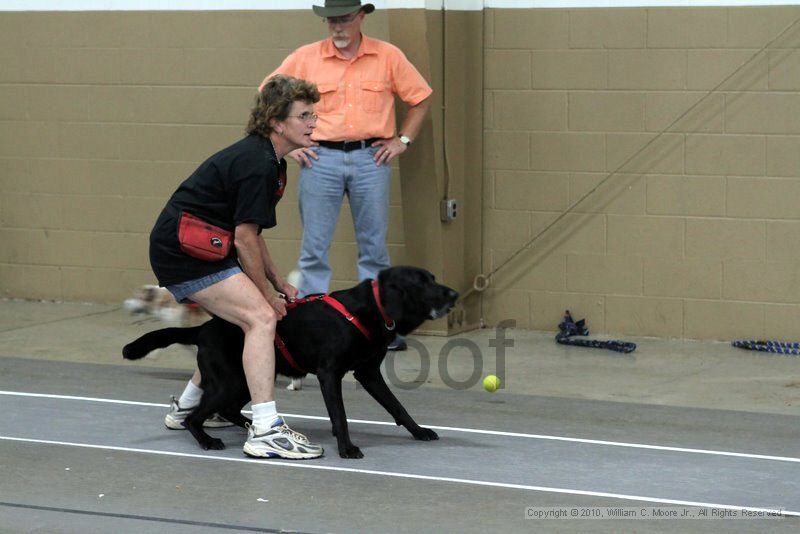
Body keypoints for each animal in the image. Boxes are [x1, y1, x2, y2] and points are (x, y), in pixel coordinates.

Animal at [119, 268, 456, 460]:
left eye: (433, 278)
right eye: (422, 283)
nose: (454, 293)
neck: (367, 309)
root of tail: (205, 328)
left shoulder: (369, 373)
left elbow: (398, 407)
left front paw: (419, 431)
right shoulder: (329, 374)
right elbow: (341, 415)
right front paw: (346, 449)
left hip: (247, 379)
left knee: (227, 408)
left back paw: (249, 425)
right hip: (230, 381)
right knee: (195, 417)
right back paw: (208, 440)